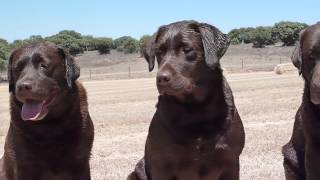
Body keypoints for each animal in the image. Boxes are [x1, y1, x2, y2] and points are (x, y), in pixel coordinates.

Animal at [0, 41, 94, 179]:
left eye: (43, 65)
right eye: (17, 68)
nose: (22, 86)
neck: (49, 125)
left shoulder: (80, 163)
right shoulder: (24, 165)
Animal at [127, 20, 245, 179]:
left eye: (187, 49)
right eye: (159, 52)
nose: (161, 78)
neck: (194, 109)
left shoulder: (231, 161)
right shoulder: (161, 164)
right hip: (137, 170)